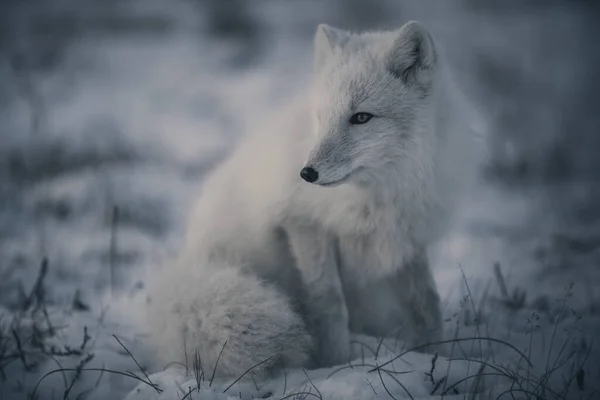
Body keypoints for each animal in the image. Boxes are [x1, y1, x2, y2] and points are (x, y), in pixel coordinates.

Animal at [149, 21, 478, 378]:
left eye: (361, 117)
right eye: (321, 117)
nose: (306, 174)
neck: (381, 194)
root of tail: (190, 261)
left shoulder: (407, 242)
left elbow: (427, 304)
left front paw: (439, 357)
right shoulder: (303, 225)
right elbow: (328, 303)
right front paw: (336, 365)